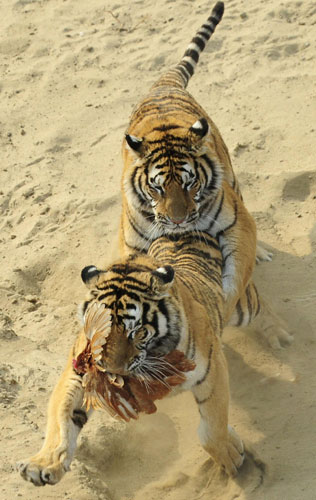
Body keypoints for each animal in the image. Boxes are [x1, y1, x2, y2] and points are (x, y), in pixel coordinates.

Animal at [16, 232, 288, 486]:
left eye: (136, 331)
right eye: (101, 328)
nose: (113, 371)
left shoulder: (211, 368)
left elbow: (212, 426)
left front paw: (230, 457)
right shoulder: (79, 374)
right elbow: (62, 417)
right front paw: (42, 465)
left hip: (241, 305)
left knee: (260, 305)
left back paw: (280, 336)